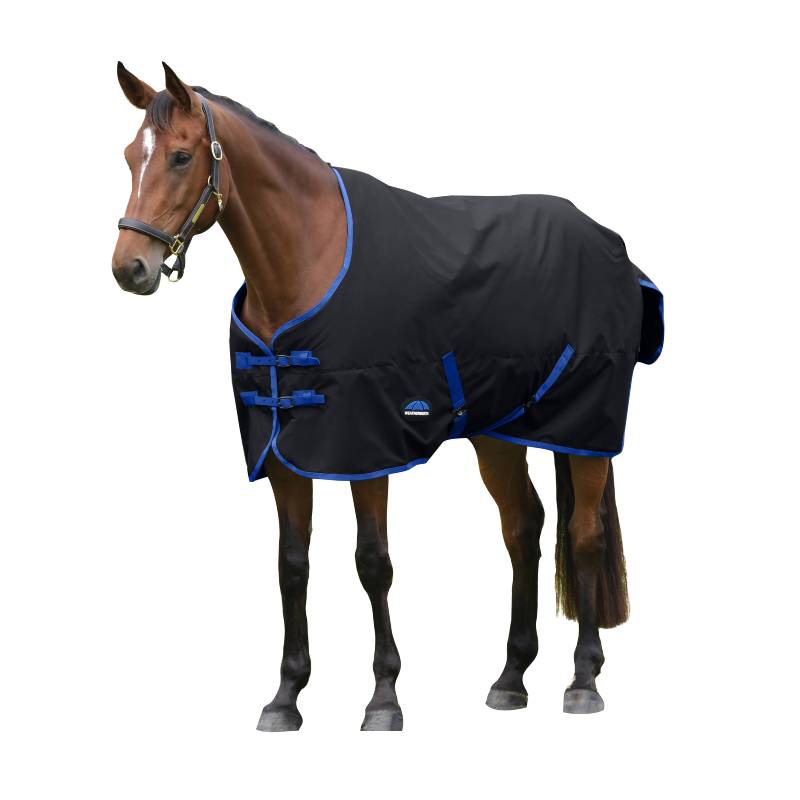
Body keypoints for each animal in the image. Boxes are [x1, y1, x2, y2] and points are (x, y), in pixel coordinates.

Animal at [111, 62, 662, 731]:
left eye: (182, 156)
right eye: (129, 157)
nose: (129, 268)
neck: (308, 263)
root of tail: (609, 242)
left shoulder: (365, 449)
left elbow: (373, 563)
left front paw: (384, 697)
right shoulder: (284, 455)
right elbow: (291, 564)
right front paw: (286, 696)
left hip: (583, 430)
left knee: (583, 534)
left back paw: (582, 680)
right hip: (498, 433)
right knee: (523, 529)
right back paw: (510, 677)